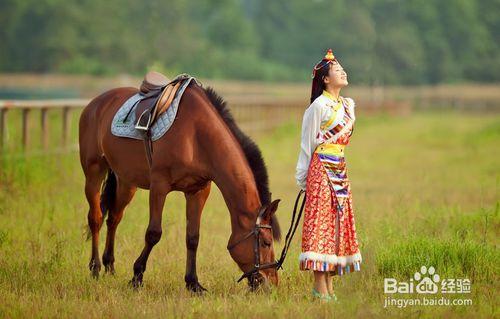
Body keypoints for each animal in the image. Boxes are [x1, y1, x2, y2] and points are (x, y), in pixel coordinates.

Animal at [78, 80, 282, 292]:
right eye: (266, 242)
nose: (272, 283)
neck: (196, 134)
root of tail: (96, 103)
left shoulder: (198, 191)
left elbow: (193, 237)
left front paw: (193, 283)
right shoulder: (159, 185)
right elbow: (153, 233)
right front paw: (137, 276)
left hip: (126, 182)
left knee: (114, 219)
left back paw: (109, 266)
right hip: (93, 172)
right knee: (95, 218)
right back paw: (95, 268)